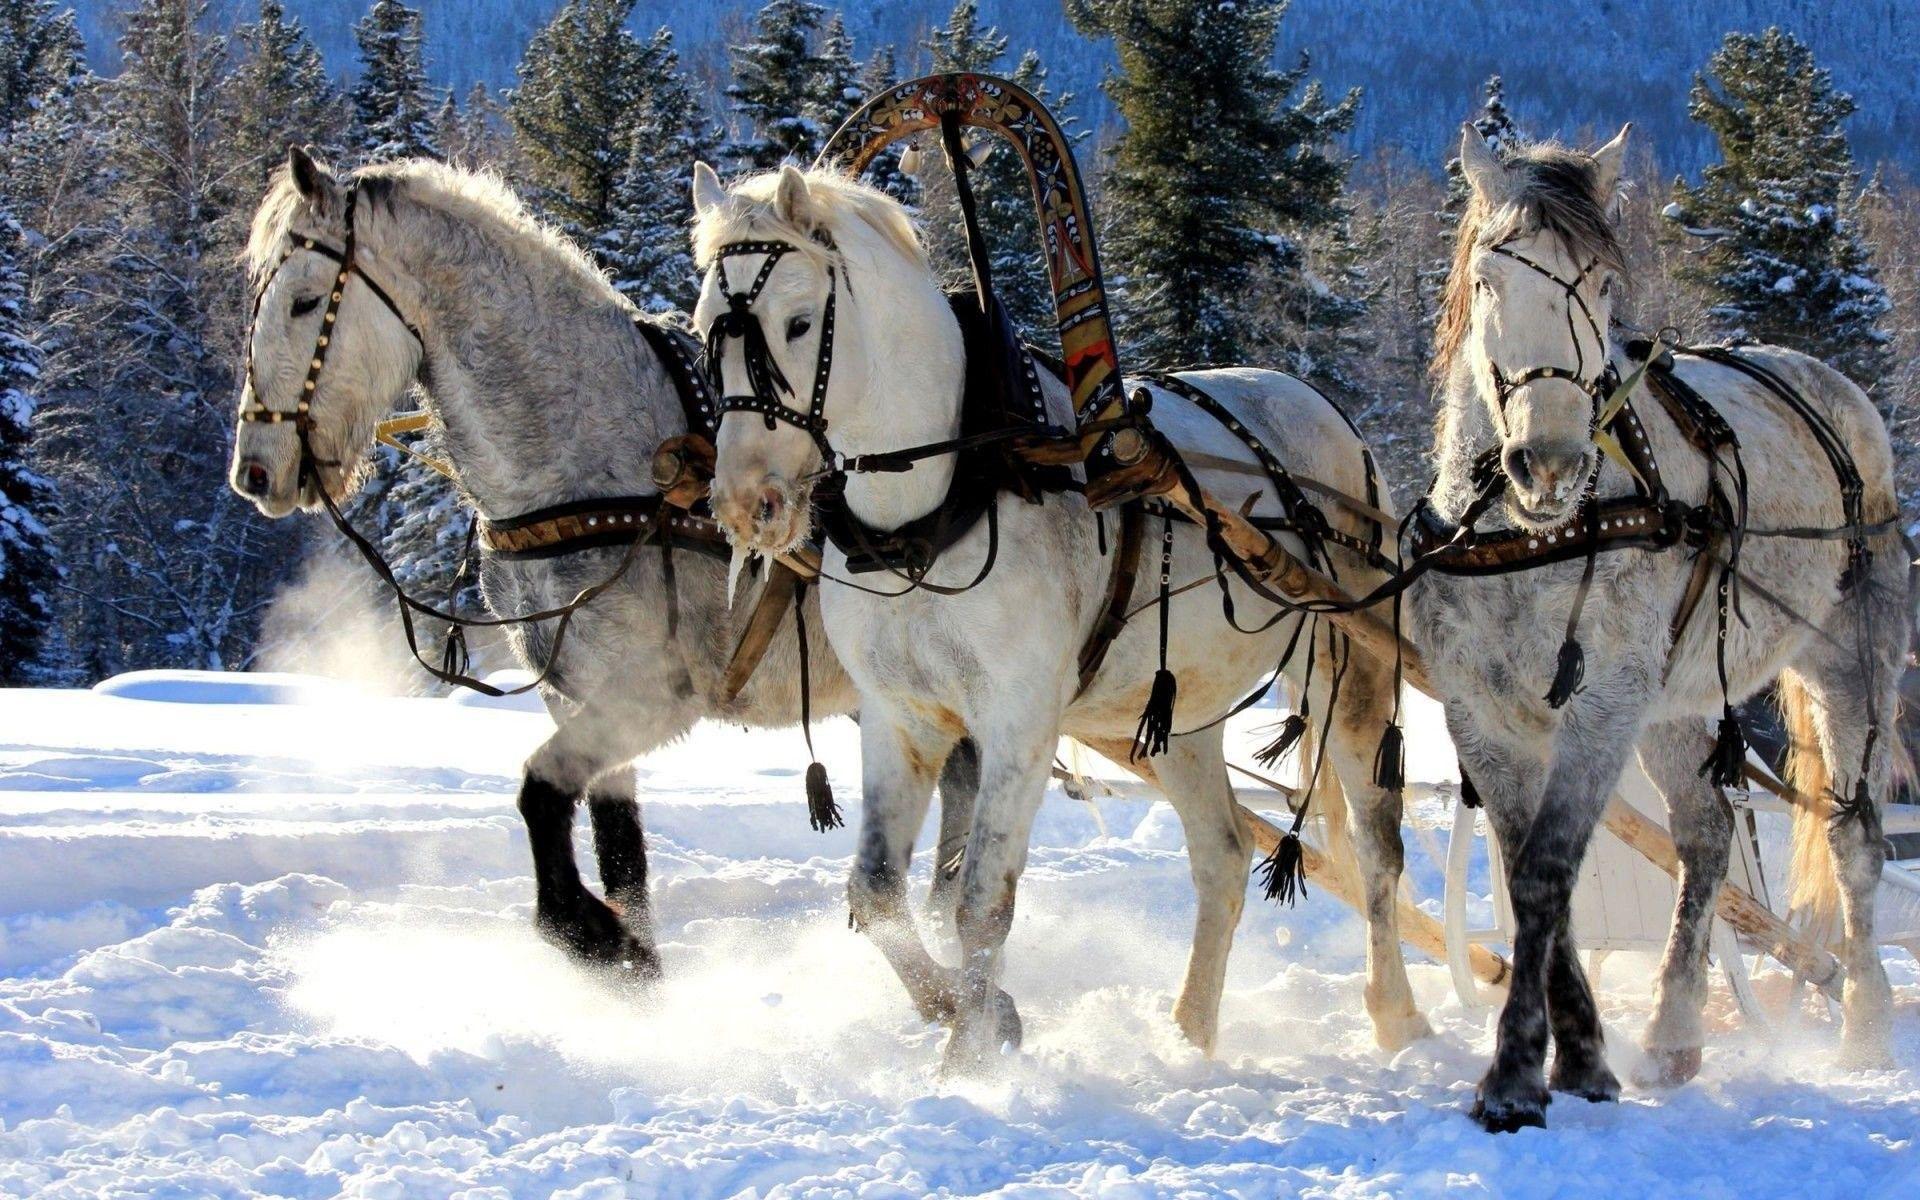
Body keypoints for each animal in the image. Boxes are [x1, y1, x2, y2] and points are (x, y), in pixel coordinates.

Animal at [228, 147, 979, 979]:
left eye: (303, 301)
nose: (255, 470)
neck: (593, 458)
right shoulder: (577, 695)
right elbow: (620, 853)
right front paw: (637, 967)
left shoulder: (650, 696)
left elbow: (540, 795)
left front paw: (589, 933)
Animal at [688, 161, 1428, 1071]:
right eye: (705, 330)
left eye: (796, 323)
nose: (744, 502)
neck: (937, 507)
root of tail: (1324, 408)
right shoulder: (902, 718)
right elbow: (878, 894)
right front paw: (962, 1009)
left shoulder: (1018, 720)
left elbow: (979, 903)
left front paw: (969, 1061)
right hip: (1178, 714)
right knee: (1221, 857)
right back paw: (1190, 1032)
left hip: (1347, 672)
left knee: (1379, 851)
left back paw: (1396, 1018)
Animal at [1416, 126, 1904, 1131]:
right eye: (1490, 276)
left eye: (1602, 281)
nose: (1550, 461)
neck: (1532, 534)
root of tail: (1832, 386)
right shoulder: (1483, 713)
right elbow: (1533, 873)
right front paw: (1582, 1057)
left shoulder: (1602, 702)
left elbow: (1546, 869)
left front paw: (1518, 1074)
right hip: (1681, 700)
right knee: (1708, 832)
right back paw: (1676, 1032)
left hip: (1854, 660)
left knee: (1854, 840)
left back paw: (1866, 1025)